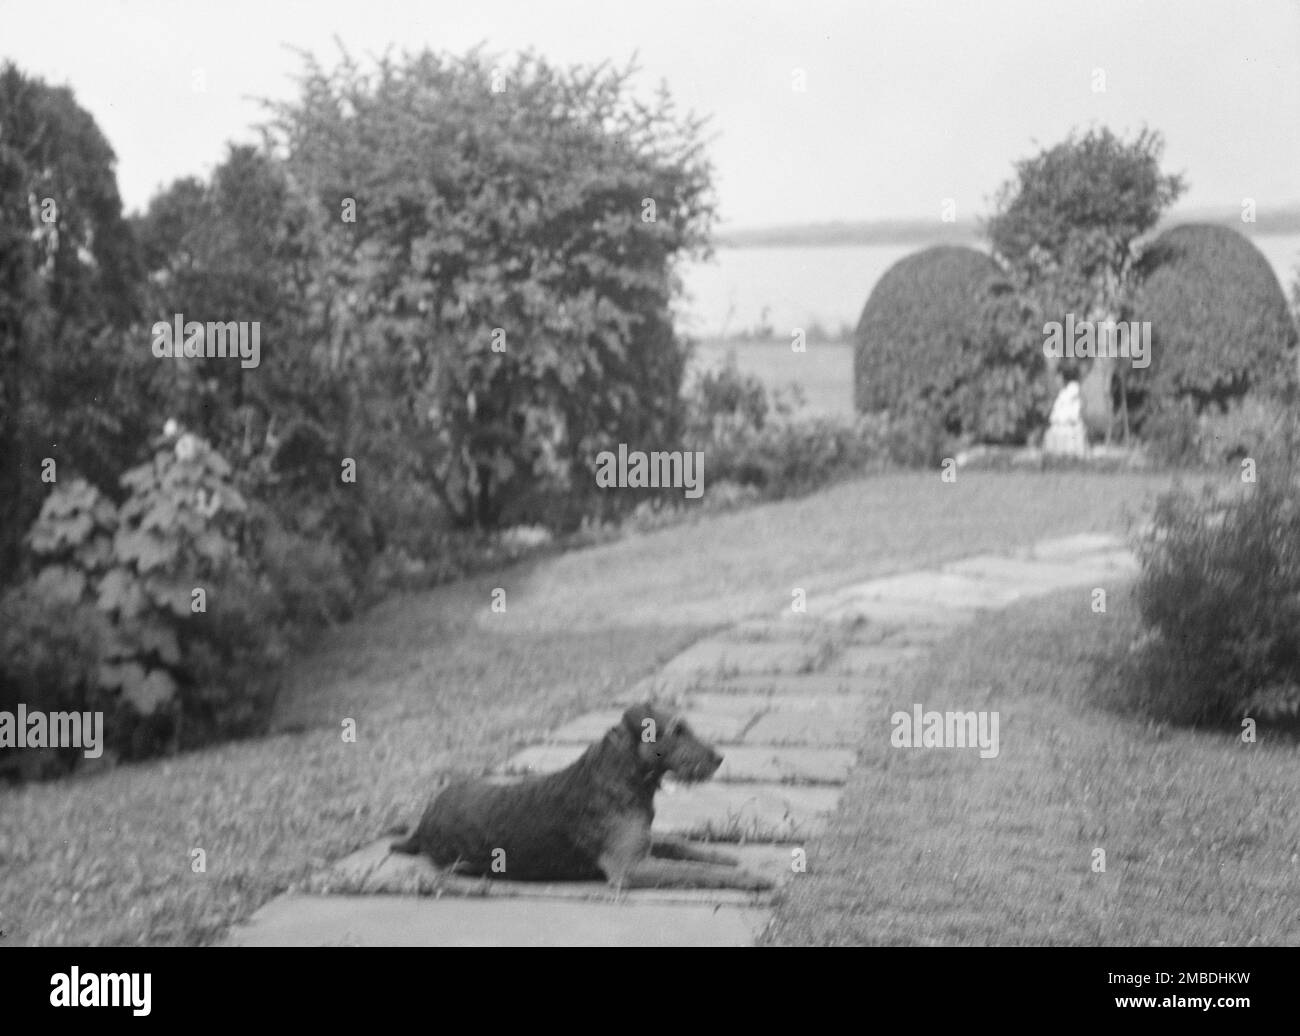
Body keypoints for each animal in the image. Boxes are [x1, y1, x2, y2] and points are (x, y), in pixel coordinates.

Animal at [387, 701, 769, 889]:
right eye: (677, 730)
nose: (719, 758)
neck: (627, 778)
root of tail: (422, 823)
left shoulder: (643, 842)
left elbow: (683, 847)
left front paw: (725, 857)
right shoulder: (628, 867)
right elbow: (694, 872)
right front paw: (752, 878)